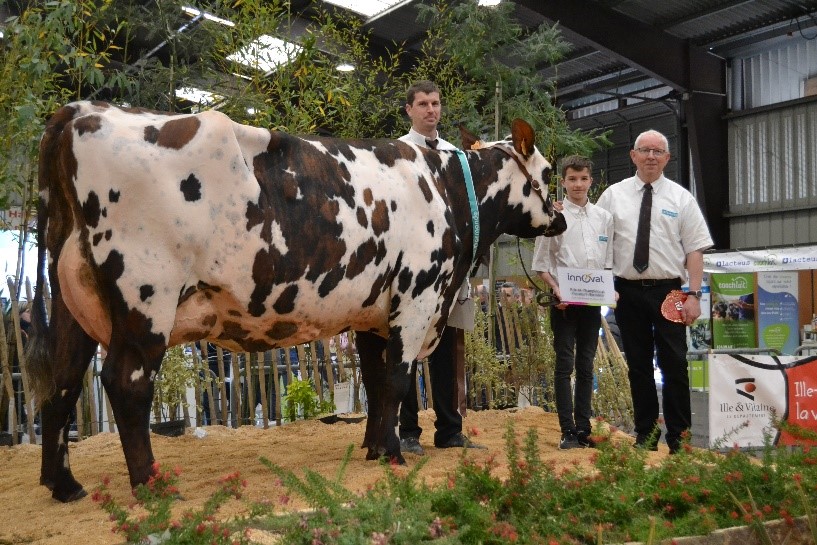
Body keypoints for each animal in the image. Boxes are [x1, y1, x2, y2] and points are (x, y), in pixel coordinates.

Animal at [25, 100, 560, 500]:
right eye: (550, 171)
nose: (560, 219)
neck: (447, 189)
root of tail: (81, 110)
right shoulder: (417, 299)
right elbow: (398, 380)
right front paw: (393, 452)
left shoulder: (371, 311)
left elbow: (375, 383)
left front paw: (373, 448)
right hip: (145, 298)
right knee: (125, 384)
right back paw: (151, 485)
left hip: (71, 303)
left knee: (61, 385)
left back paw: (63, 484)